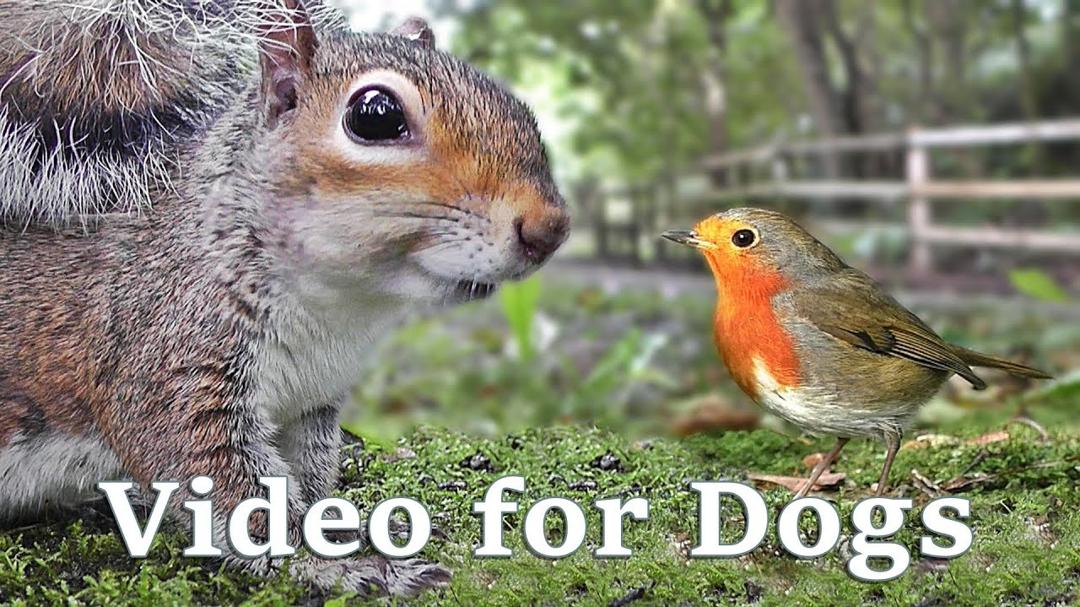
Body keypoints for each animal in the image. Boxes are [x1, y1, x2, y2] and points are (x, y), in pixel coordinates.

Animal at [0, 0, 569, 597]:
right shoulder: (168, 360)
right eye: (376, 114)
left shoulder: (312, 404)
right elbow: (226, 484)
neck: (338, 307)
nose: (550, 227)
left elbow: (311, 475)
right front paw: (343, 565)